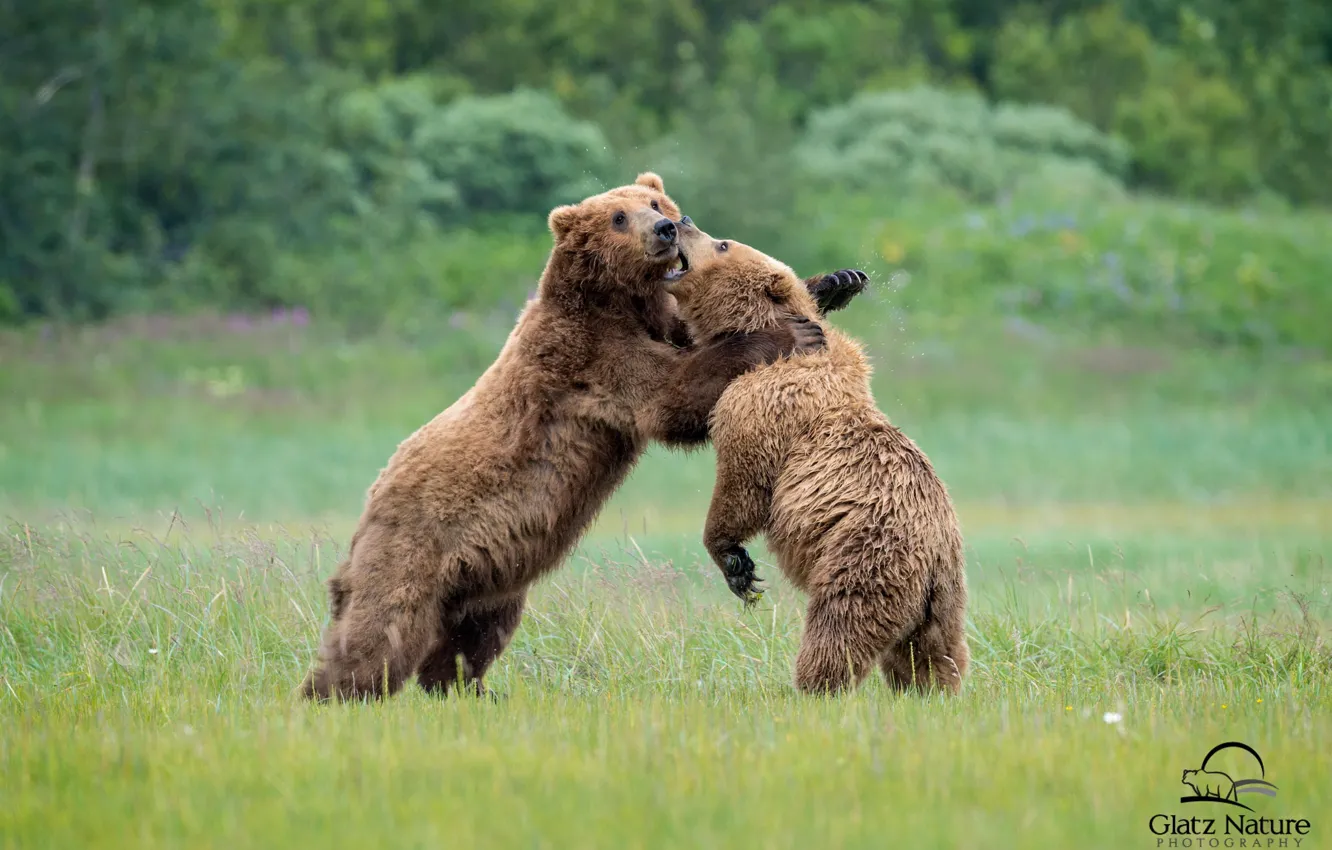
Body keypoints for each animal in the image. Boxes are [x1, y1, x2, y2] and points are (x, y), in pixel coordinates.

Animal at [300, 173, 868, 701]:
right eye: (618, 217)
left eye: (655, 202)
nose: (665, 228)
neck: (620, 300)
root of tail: (372, 500)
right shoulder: (591, 356)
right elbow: (672, 394)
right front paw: (789, 333)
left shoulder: (656, 322)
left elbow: (694, 336)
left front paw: (839, 280)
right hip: (414, 546)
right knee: (381, 630)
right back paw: (329, 695)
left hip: (487, 574)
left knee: (475, 632)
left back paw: (472, 688)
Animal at [666, 219, 970, 695]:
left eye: (723, 244)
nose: (681, 221)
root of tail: (935, 557)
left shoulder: (760, 404)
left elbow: (744, 482)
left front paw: (736, 564)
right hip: (943, 600)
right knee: (934, 655)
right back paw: (931, 694)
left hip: (863, 559)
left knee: (840, 628)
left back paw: (813, 688)